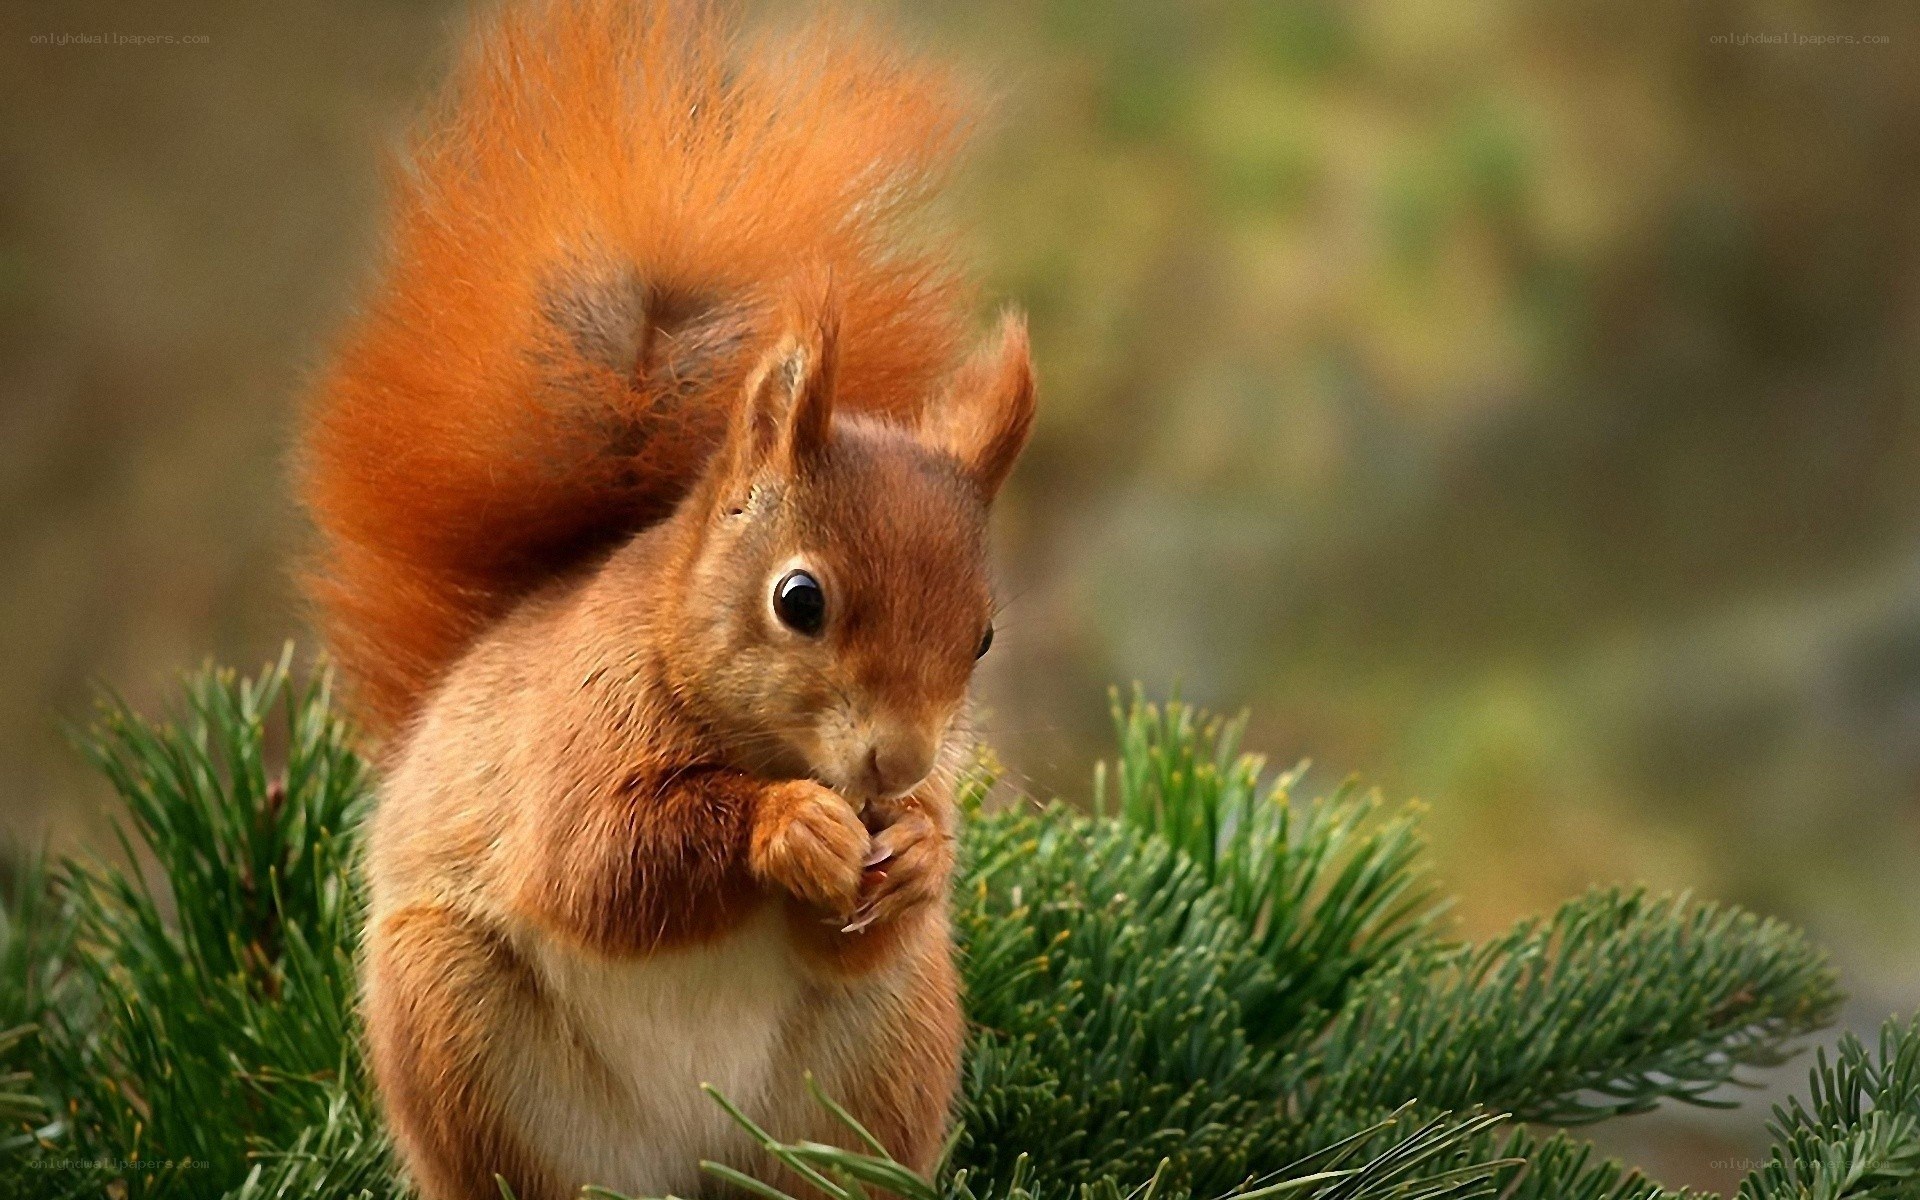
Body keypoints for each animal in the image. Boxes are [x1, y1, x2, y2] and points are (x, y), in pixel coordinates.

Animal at [297, 2, 1034, 1199]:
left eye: (982, 636)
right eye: (798, 599)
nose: (901, 764)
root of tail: (693, 1164)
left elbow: (862, 921)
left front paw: (923, 850)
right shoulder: (579, 730)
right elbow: (600, 863)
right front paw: (788, 826)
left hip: (886, 1050)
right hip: (454, 1024)